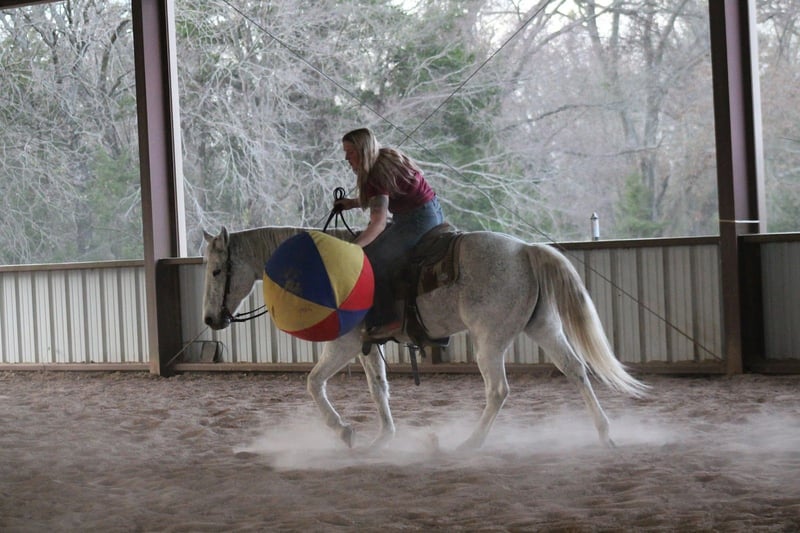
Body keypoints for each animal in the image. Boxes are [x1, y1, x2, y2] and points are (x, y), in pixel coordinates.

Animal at [201, 225, 647, 450]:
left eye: (217, 270)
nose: (210, 319)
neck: (326, 270)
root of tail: (525, 250)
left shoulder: (345, 344)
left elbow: (313, 383)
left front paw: (344, 431)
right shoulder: (367, 347)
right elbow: (378, 388)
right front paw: (383, 438)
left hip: (490, 340)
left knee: (498, 390)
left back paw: (469, 443)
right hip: (543, 327)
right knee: (576, 370)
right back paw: (604, 434)